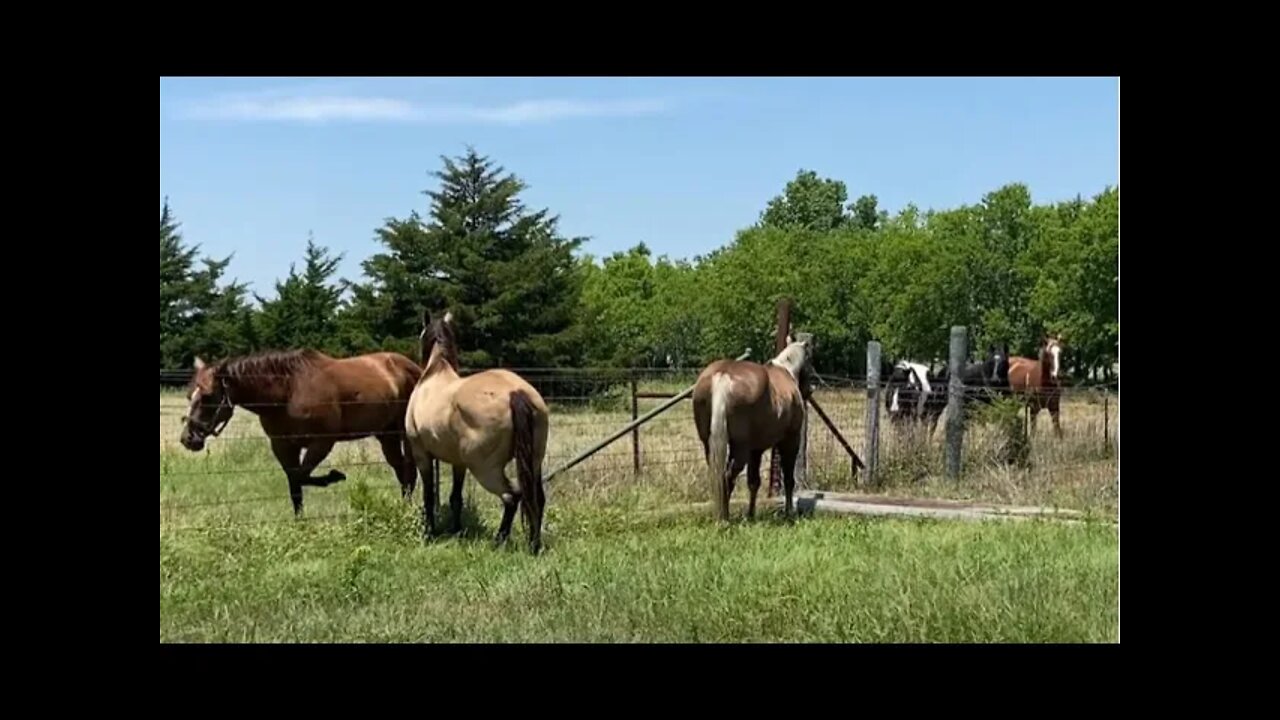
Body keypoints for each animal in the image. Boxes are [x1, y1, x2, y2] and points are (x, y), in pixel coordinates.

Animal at [175, 351, 422, 512]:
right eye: (189, 395)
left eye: (208, 396)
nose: (188, 438)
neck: (289, 391)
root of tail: (415, 368)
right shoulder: (283, 446)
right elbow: (295, 484)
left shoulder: (322, 443)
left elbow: (300, 476)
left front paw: (334, 476)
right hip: (386, 435)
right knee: (401, 470)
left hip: (403, 434)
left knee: (409, 471)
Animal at [404, 310, 550, 556]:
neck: (436, 372)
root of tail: (516, 392)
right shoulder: (458, 462)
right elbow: (456, 497)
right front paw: (456, 530)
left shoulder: (422, 455)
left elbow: (428, 496)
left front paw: (429, 533)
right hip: (534, 462)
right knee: (536, 498)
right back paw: (534, 545)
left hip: (485, 469)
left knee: (512, 496)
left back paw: (499, 542)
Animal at [696, 335, 814, 520]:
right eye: (810, 361)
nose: (810, 390)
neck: (787, 371)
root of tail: (724, 375)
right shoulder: (790, 441)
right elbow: (788, 479)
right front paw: (789, 512)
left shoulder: (755, 450)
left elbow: (753, 482)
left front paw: (750, 515)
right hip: (740, 449)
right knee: (727, 477)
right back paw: (724, 518)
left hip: (709, 445)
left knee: (718, 476)